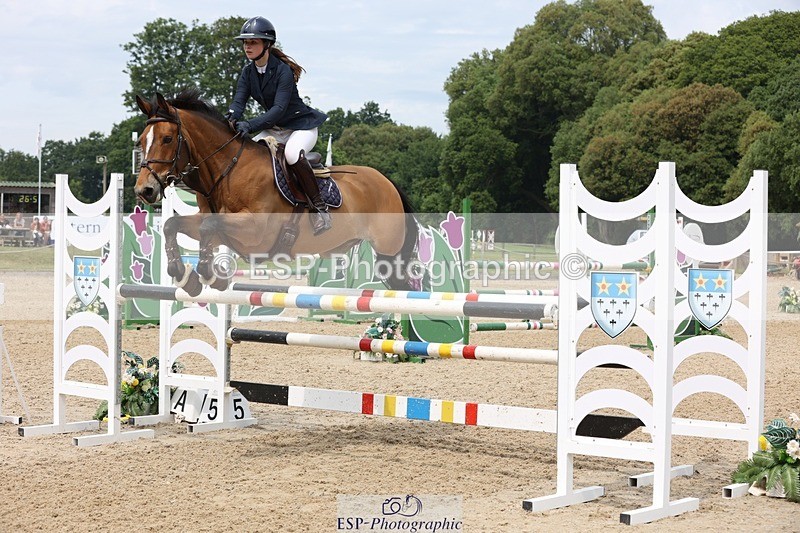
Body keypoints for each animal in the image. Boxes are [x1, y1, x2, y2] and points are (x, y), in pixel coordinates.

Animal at [134, 89, 419, 297]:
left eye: (167, 139)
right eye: (142, 140)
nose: (144, 190)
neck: (227, 169)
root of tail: (388, 183)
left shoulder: (255, 230)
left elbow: (208, 228)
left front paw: (208, 274)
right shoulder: (214, 223)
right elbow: (174, 225)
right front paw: (184, 274)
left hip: (388, 252)